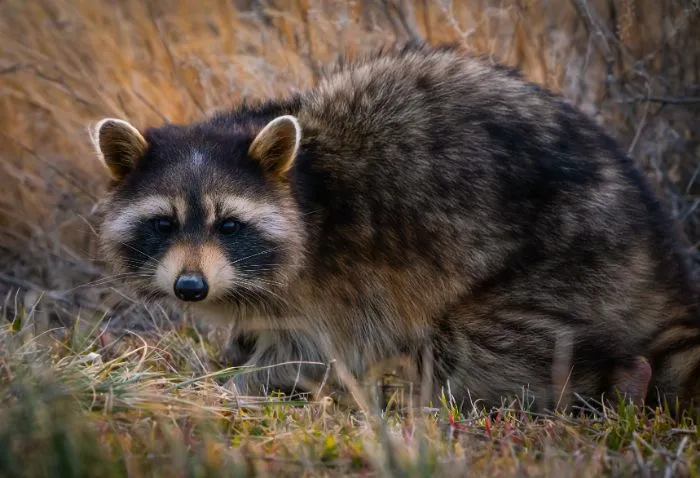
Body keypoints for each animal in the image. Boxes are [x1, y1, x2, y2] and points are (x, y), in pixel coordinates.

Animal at [89, 43, 700, 413]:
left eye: (230, 225)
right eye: (163, 223)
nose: (190, 287)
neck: (304, 188)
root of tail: (656, 251)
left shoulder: (339, 280)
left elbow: (306, 353)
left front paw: (230, 387)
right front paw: (233, 353)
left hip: (568, 259)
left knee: (483, 348)